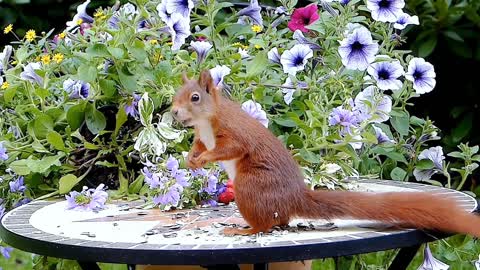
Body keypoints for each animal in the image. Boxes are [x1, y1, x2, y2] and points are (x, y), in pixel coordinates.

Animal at [171, 70, 480, 236]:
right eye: (176, 94)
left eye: (195, 97)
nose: (173, 112)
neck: (206, 121)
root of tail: (294, 198)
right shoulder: (202, 137)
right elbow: (198, 147)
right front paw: (191, 160)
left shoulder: (234, 133)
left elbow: (230, 149)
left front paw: (205, 159)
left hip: (251, 185)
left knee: (265, 224)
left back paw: (243, 229)